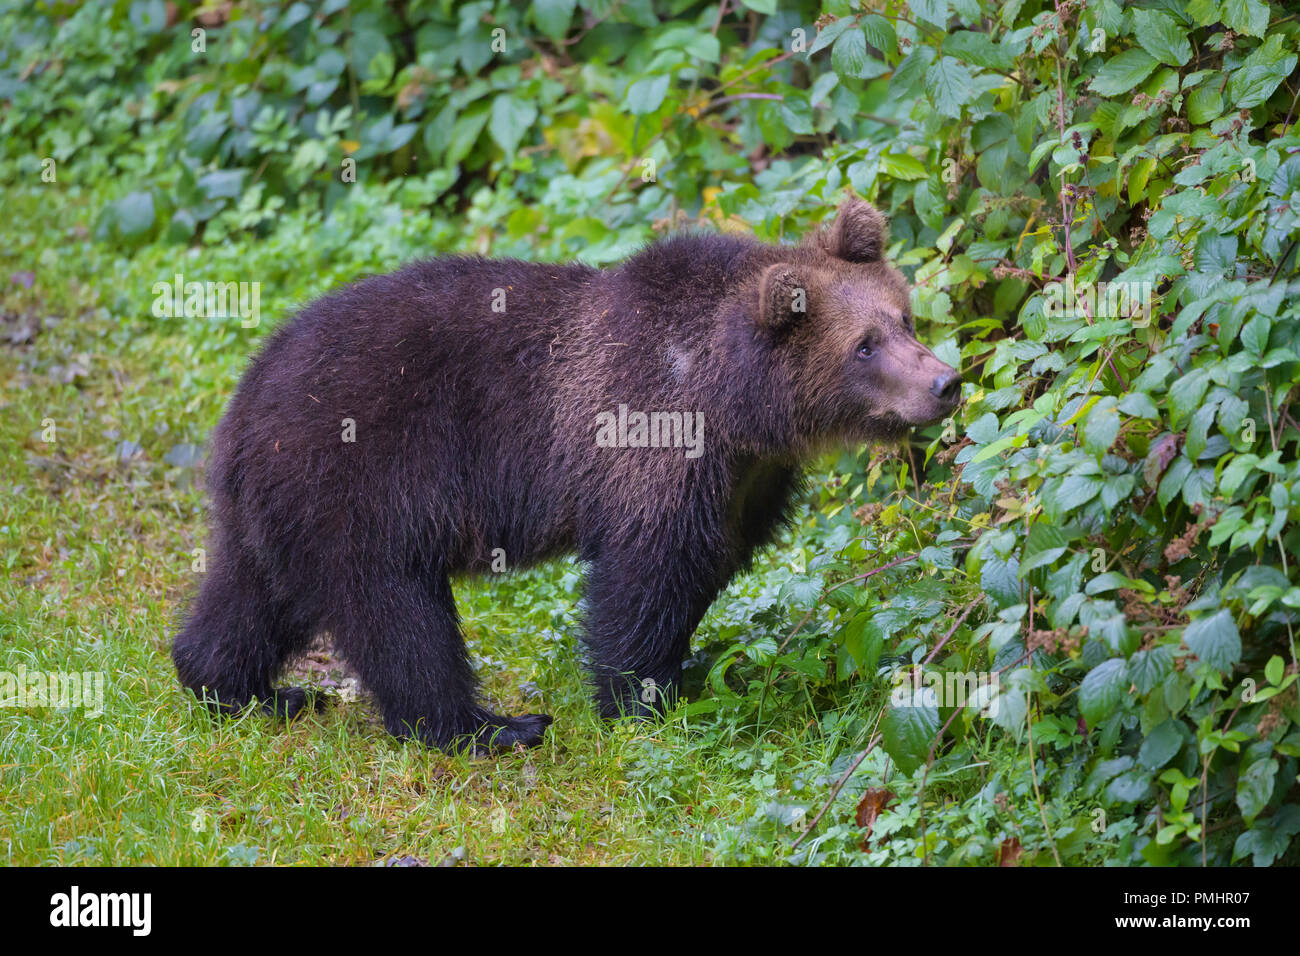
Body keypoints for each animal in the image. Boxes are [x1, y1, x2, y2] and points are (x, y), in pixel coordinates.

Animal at [171, 197, 961, 754]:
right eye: (864, 345)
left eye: (905, 317)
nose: (945, 383)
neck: (736, 404)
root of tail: (247, 397)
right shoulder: (650, 442)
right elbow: (643, 583)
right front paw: (641, 703)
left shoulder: (746, 483)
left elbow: (705, 569)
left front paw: (690, 668)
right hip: (360, 480)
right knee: (396, 613)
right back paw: (488, 726)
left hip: (281, 506)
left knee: (252, 593)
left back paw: (243, 688)